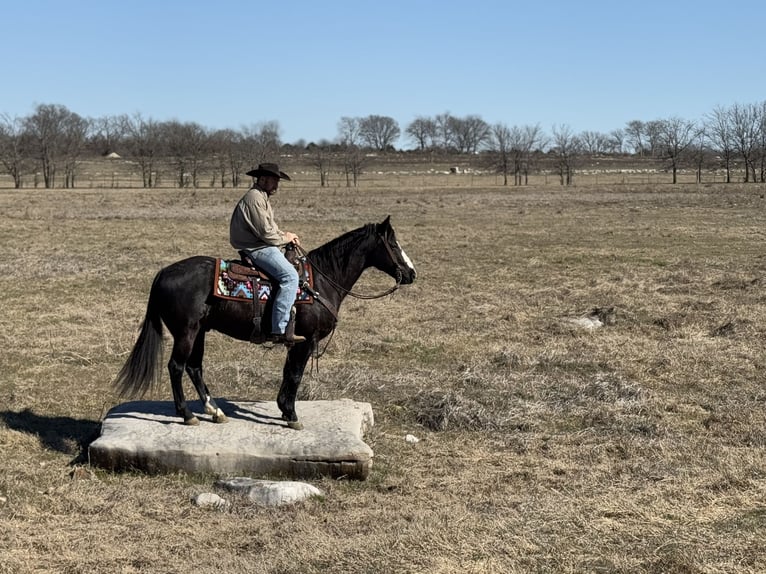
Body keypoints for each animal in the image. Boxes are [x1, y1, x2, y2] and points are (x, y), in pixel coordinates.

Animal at [114, 218, 416, 430]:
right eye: (393, 245)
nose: (412, 273)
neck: (321, 281)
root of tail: (163, 272)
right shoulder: (304, 341)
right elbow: (294, 375)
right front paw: (291, 415)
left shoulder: (295, 343)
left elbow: (287, 374)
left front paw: (284, 409)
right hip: (185, 332)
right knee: (177, 367)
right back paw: (188, 415)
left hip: (199, 331)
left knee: (194, 367)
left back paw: (215, 411)